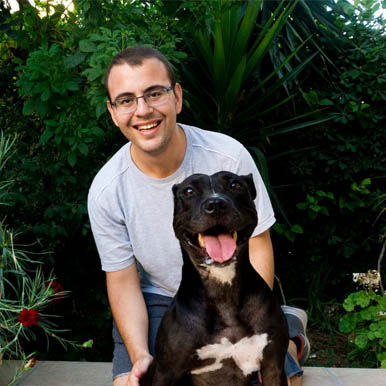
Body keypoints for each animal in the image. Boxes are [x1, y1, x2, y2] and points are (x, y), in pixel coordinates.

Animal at [140, 173, 288, 386]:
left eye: (235, 185)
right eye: (189, 191)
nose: (216, 204)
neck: (223, 292)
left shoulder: (273, 367)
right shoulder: (165, 372)